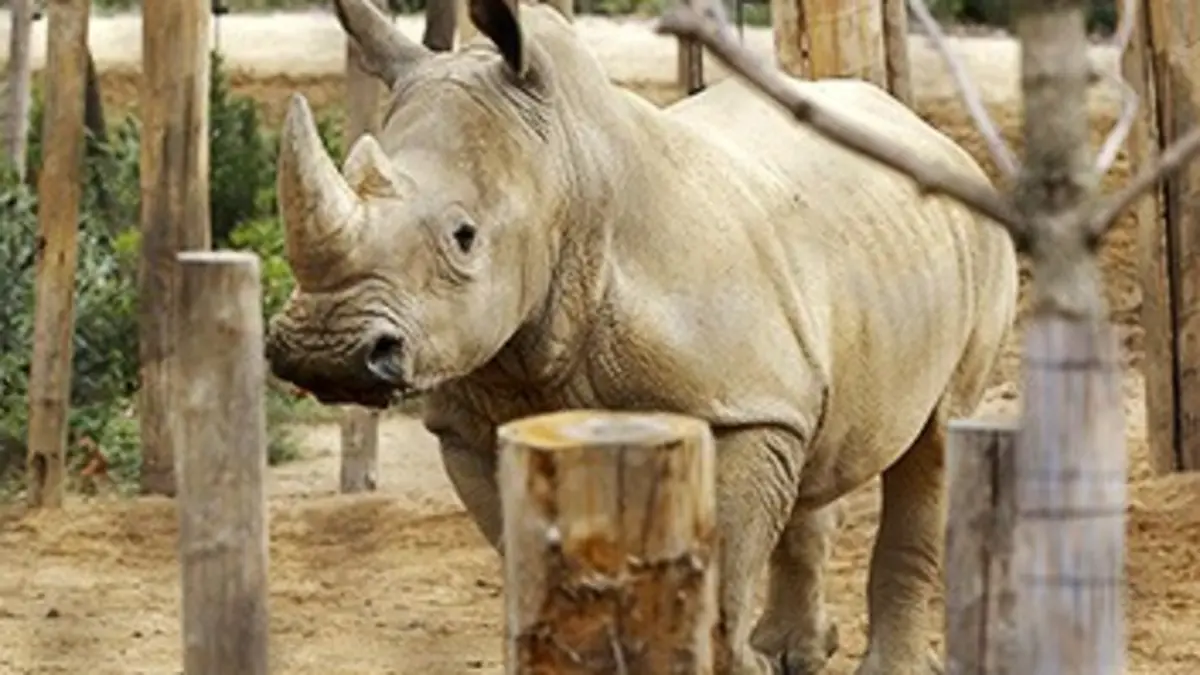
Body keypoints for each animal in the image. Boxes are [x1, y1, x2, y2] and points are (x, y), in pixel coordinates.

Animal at [263, 0, 1019, 672]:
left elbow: (721, 582)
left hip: (978, 234)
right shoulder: (473, 429)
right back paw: (792, 654)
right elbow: (528, 563)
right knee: (817, 432)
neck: (567, 178)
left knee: (936, 436)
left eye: (464, 236)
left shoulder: (740, 409)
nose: (324, 351)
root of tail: (927, 133)